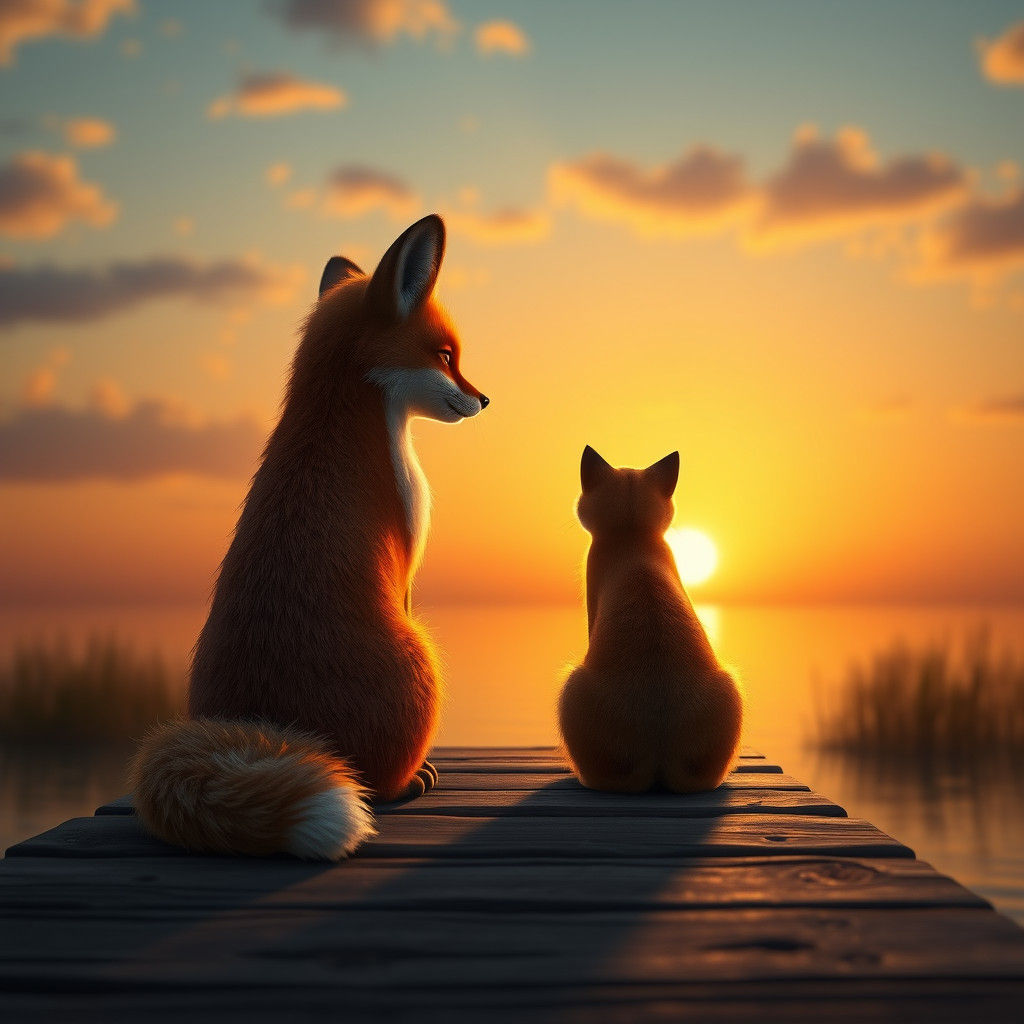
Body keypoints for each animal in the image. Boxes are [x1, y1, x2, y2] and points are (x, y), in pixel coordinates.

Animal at [130, 215, 488, 860]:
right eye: (447, 355)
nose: (484, 399)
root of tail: (266, 725)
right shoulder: (407, 567)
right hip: (422, 657)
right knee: (375, 782)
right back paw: (408, 781)